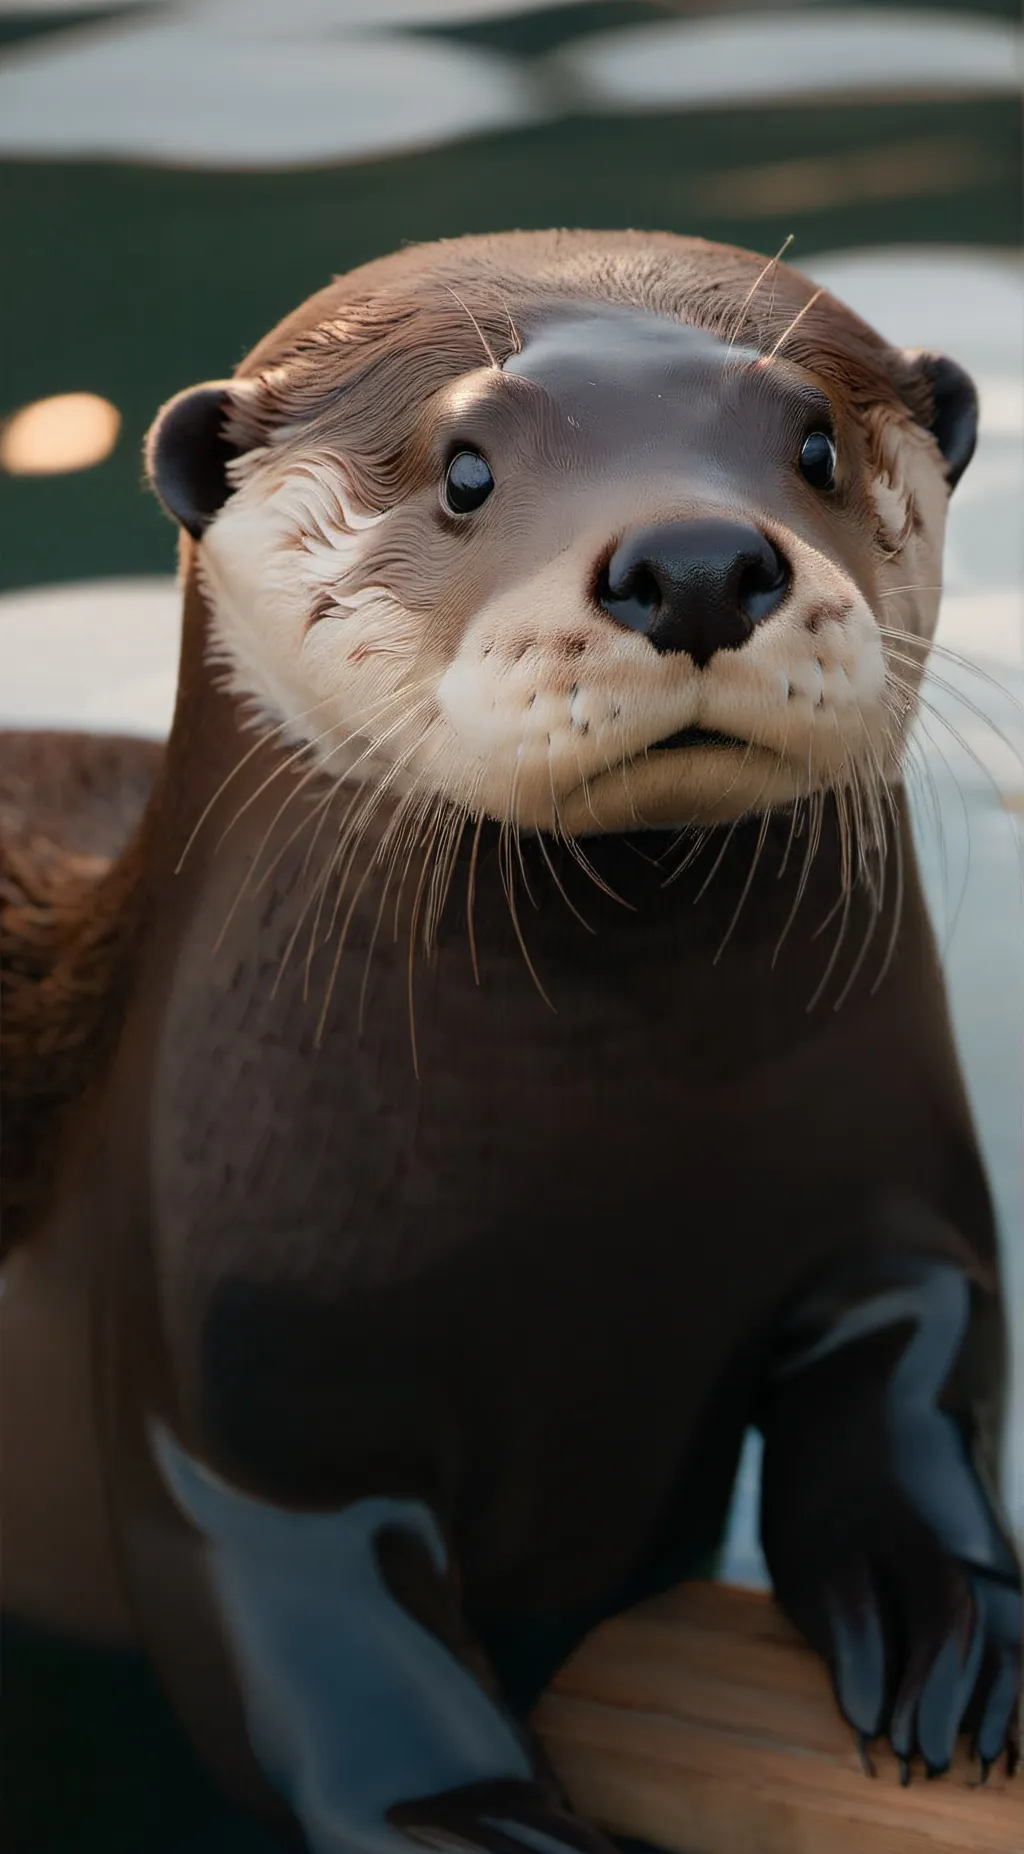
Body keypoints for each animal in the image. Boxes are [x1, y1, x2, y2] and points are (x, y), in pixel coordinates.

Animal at [1, 231, 1020, 1853]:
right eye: (464, 468)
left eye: (815, 441)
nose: (695, 561)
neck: (595, 1163)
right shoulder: (236, 1391)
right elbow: (312, 1638)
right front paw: (483, 1817)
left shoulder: (894, 1192)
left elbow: (926, 1345)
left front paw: (945, 1617)